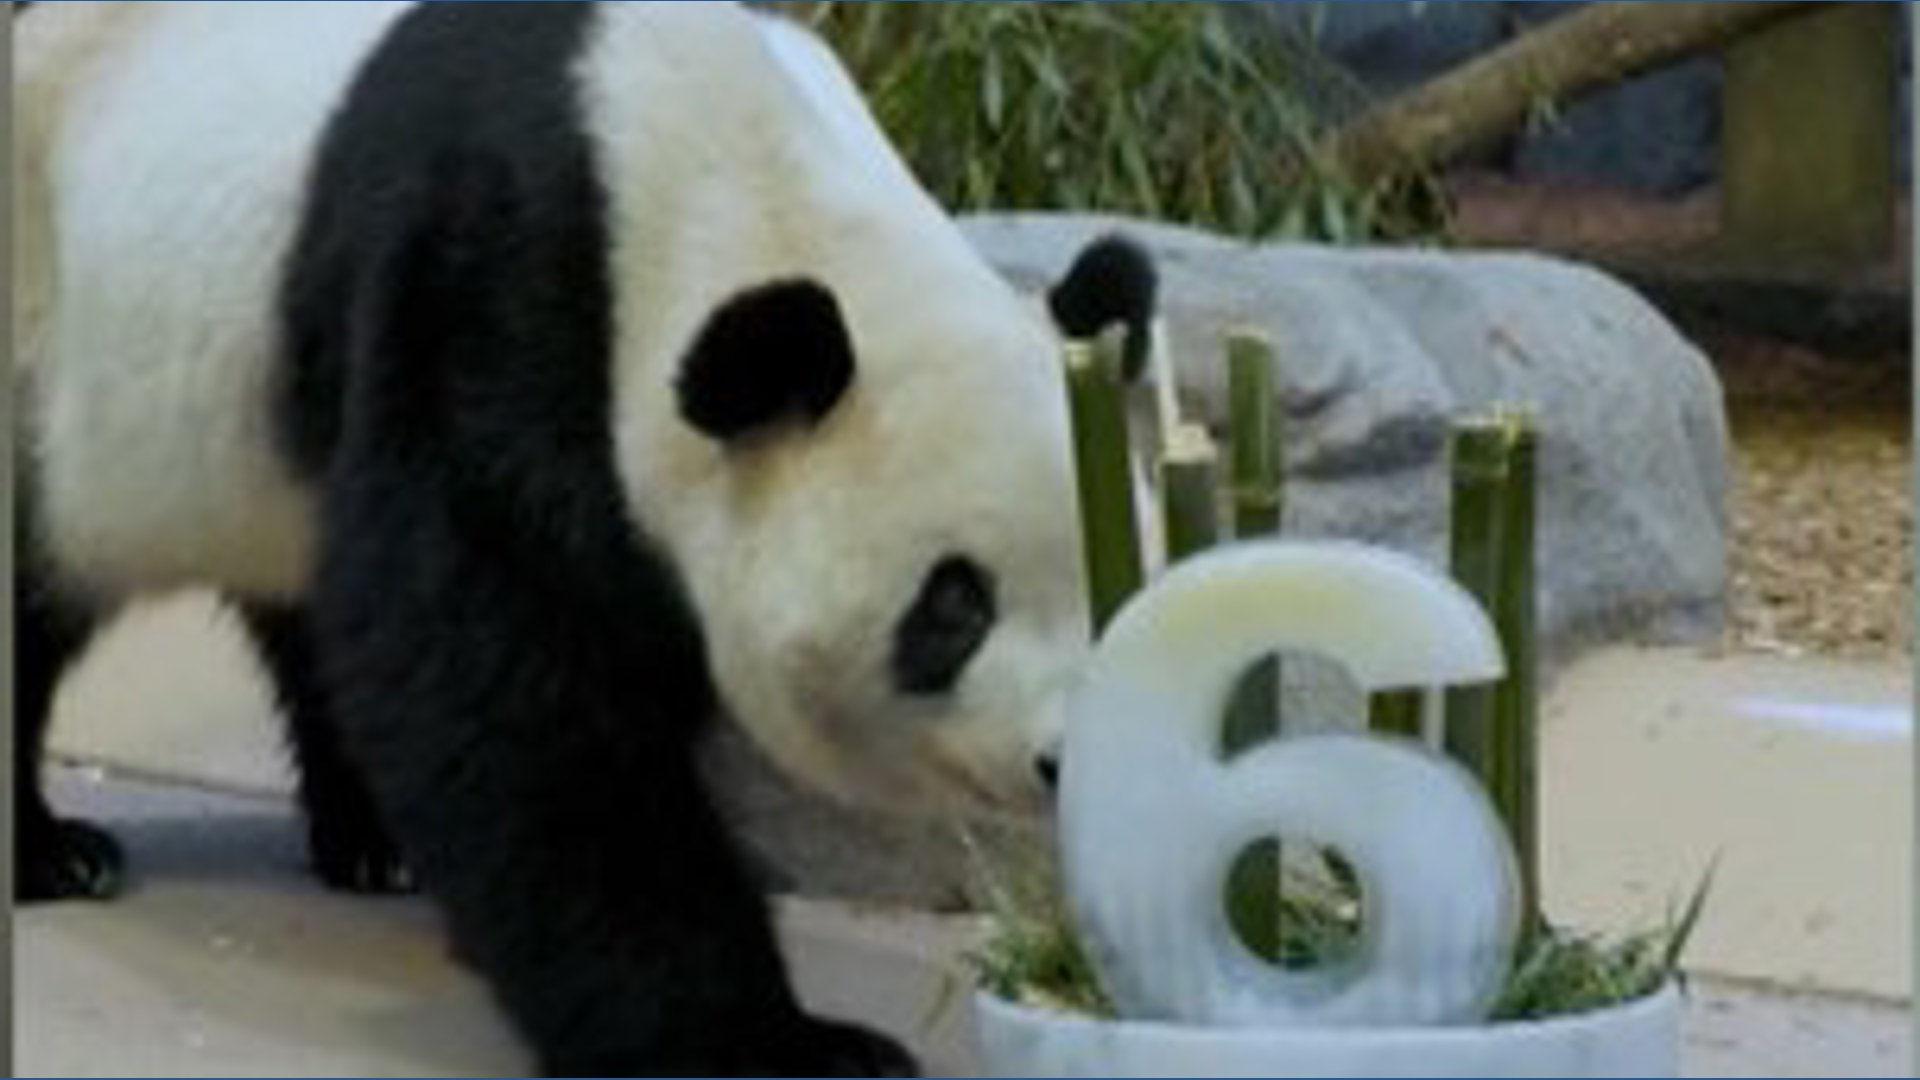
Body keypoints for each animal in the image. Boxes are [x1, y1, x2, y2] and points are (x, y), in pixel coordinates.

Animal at [17, 2, 1157, 1076]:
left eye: (1116, 581)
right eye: (955, 602)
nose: (1070, 760)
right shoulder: (487, 288)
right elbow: (508, 682)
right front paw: (767, 1041)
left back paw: (375, 843)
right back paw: (54, 856)